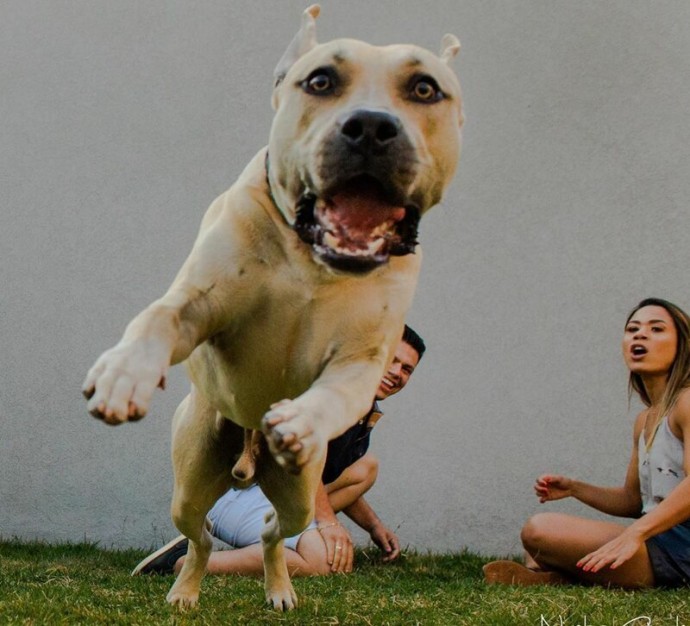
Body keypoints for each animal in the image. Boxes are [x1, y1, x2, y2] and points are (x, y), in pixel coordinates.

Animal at [84, 4, 462, 608]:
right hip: (192, 481)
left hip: (298, 498)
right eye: (321, 81)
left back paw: (279, 587)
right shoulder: (197, 306)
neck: (312, 257)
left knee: (269, 534)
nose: (371, 126)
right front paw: (125, 373)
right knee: (201, 537)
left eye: (425, 88)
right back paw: (185, 588)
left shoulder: (362, 362)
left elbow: (335, 395)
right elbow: (159, 316)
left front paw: (303, 418)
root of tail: (248, 459)